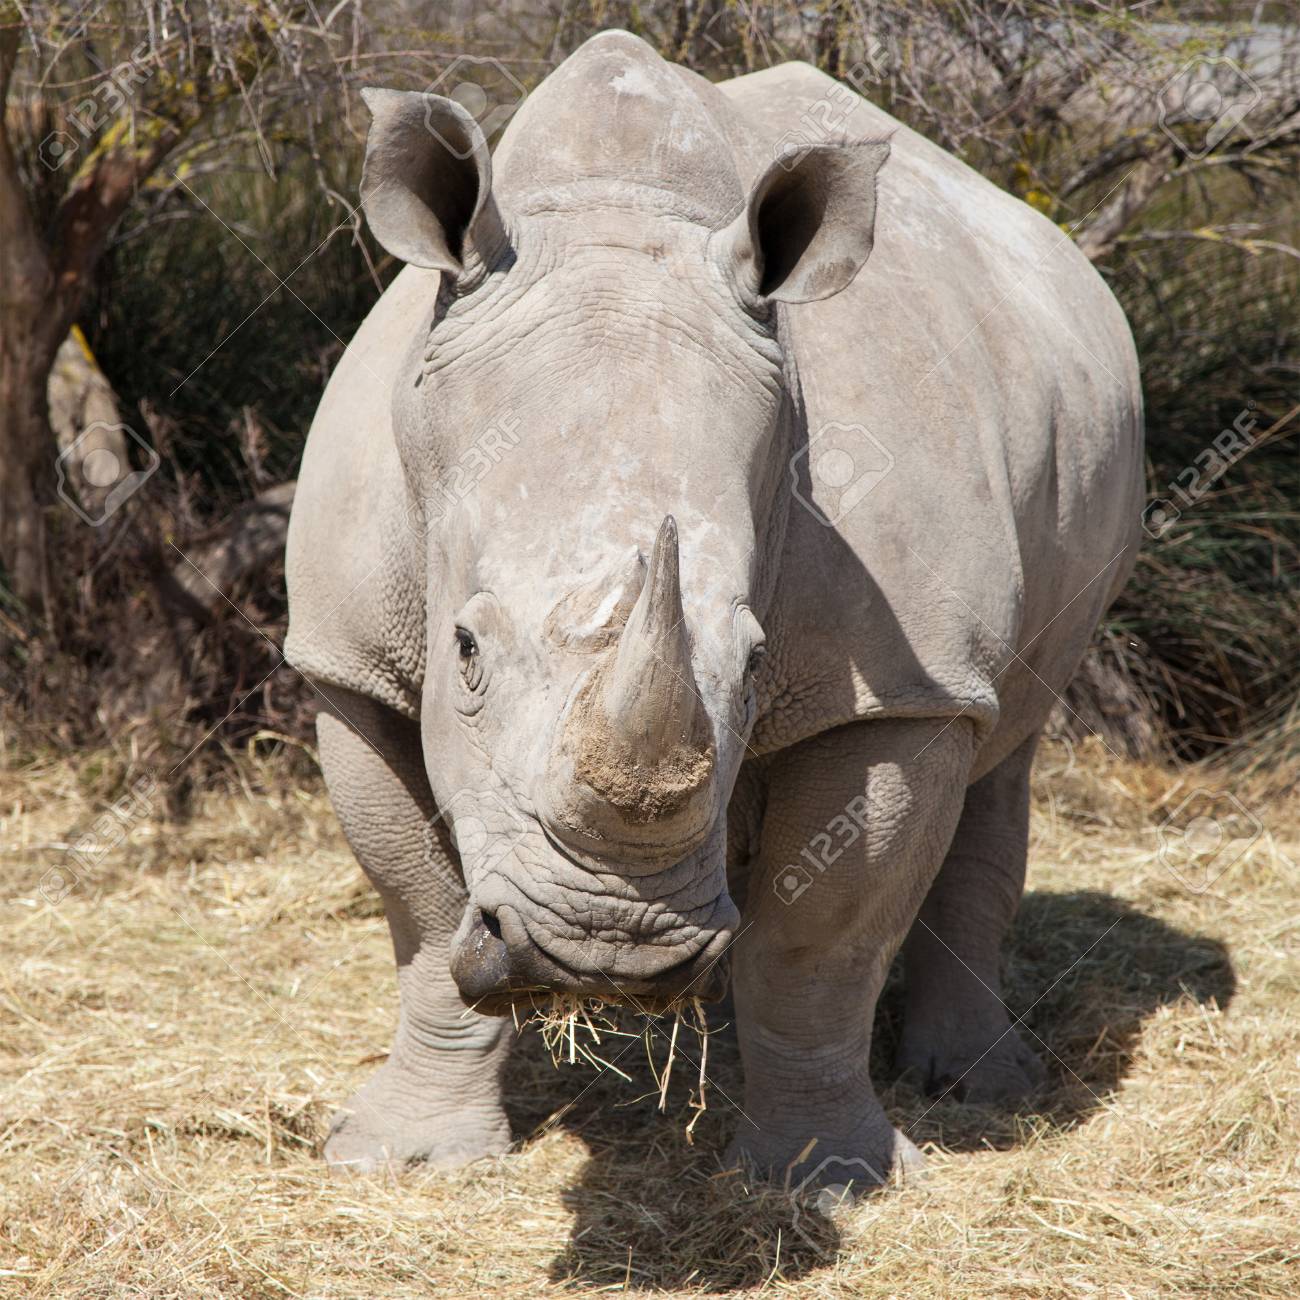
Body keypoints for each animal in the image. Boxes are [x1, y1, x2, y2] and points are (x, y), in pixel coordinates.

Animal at [285, 30, 1143, 1185]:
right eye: (461, 649)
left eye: (754, 662)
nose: (603, 950)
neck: (613, 207)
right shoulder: (350, 655)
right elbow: (418, 907)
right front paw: (403, 1157)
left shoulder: (897, 688)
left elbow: (821, 939)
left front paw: (828, 1173)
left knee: (1005, 748)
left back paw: (979, 1086)